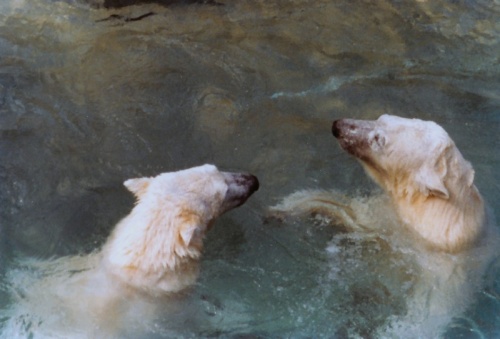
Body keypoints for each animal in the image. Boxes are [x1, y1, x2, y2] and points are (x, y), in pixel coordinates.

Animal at [272, 115, 498, 338]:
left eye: (378, 139)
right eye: (380, 118)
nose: (338, 126)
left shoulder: (443, 269)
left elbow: (428, 314)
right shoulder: (390, 215)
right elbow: (352, 211)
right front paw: (283, 208)